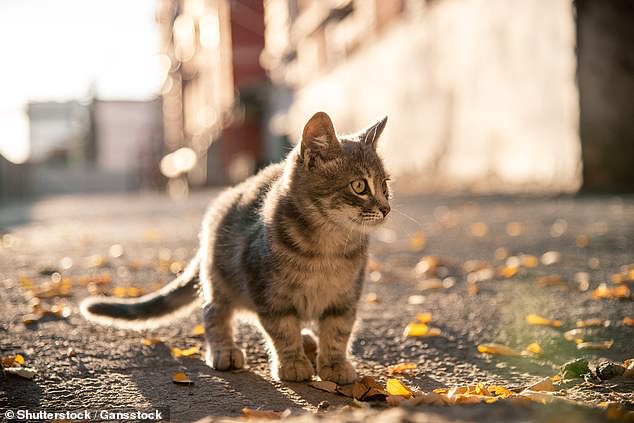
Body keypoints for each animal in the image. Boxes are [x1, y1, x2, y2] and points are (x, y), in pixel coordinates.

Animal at [80, 112, 390, 384]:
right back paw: (225, 350)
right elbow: (282, 329)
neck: (326, 248)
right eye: (359, 186)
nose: (386, 208)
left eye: (385, 186)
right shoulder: (268, 292)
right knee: (214, 314)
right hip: (220, 280)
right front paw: (292, 362)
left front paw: (335, 364)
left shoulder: (346, 297)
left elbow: (338, 331)